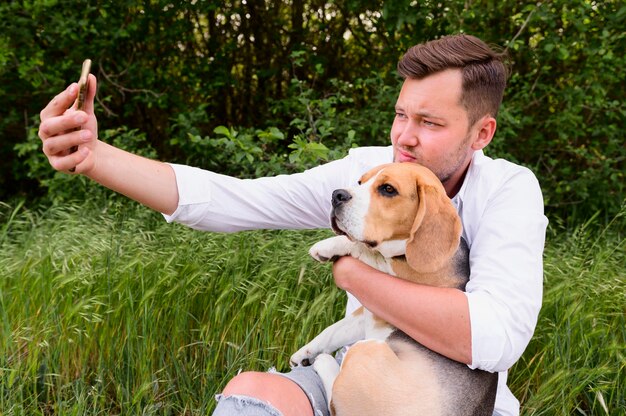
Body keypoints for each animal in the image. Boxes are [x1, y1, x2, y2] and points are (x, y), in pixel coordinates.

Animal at [288, 163, 498, 416]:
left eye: (388, 189)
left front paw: (329, 246)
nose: (336, 195)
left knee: (335, 404)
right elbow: (333, 330)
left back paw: (324, 362)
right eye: (360, 182)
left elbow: (367, 252)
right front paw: (305, 353)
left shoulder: (394, 280)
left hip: (366, 351)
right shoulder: (373, 312)